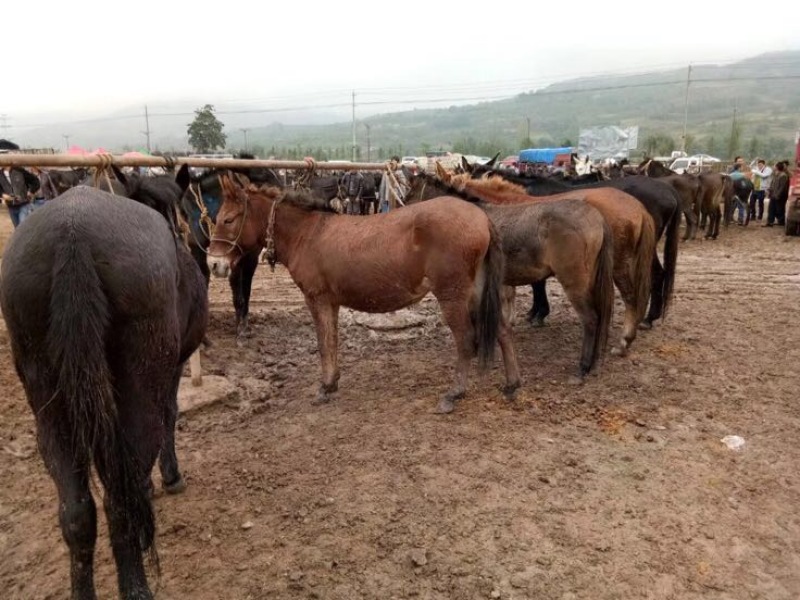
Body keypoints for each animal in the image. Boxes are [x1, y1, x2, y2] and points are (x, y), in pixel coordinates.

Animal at [0, 174, 208, 599]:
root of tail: (72, 235)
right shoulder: (172, 370)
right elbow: (170, 417)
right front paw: (169, 478)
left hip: (50, 406)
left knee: (78, 511)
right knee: (118, 501)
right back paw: (136, 586)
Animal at [207, 173, 517, 414]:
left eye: (228, 220)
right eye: (218, 218)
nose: (213, 264)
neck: (307, 234)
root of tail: (481, 217)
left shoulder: (316, 298)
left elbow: (323, 342)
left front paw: (324, 386)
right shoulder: (330, 301)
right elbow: (331, 340)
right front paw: (332, 382)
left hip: (452, 293)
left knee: (465, 339)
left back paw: (454, 393)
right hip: (477, 290)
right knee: (501, 330)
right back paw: (512, 385)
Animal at [406, 171, 615, 380]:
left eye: (409, 195)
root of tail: (597, 217)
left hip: (574, 281)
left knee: (590, 319)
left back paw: (584, 366)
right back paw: (595, 362)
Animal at [466, 158, 680, 329]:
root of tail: (669, 190)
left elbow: (537, 283)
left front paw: (539, 313)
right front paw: (534, 312)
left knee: (655, 275)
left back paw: (647, 318)